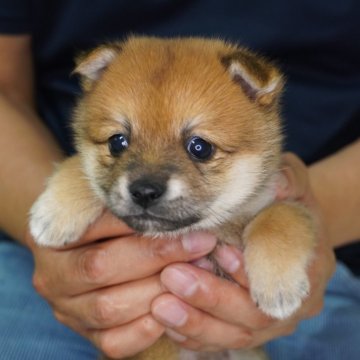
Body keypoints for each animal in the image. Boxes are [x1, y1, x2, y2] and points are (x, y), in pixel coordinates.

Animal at [30, 36, 316, 360]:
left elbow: (281, 216)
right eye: (117, 142)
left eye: (200, 147)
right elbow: (81, 166)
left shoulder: (277, 201)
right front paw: (54, 212)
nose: (144, 191)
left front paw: (278, 286)